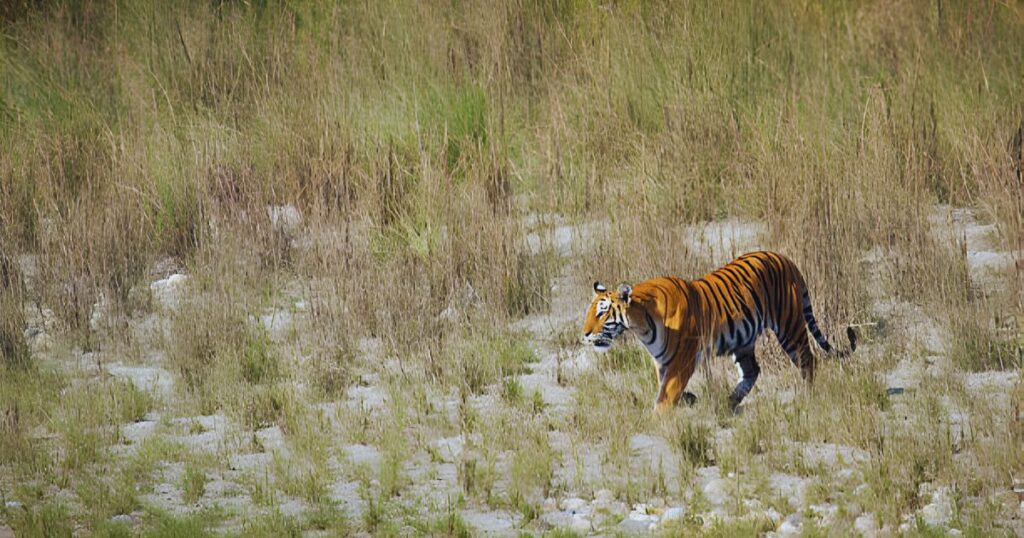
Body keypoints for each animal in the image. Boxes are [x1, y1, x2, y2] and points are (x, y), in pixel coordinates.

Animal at [585, 250, 856, 414]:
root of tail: (785, 258)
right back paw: (730, 402)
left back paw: (807, 397)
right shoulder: (663, 361)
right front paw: (688, 399)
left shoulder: (682, 360)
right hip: (744, 340)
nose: (585, 334)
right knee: (752, 371)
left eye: (602, 313)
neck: (640, 324)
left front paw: (657, 418)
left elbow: (666, 394)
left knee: (807, 359)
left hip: (789, 325)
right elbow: (665, 388)